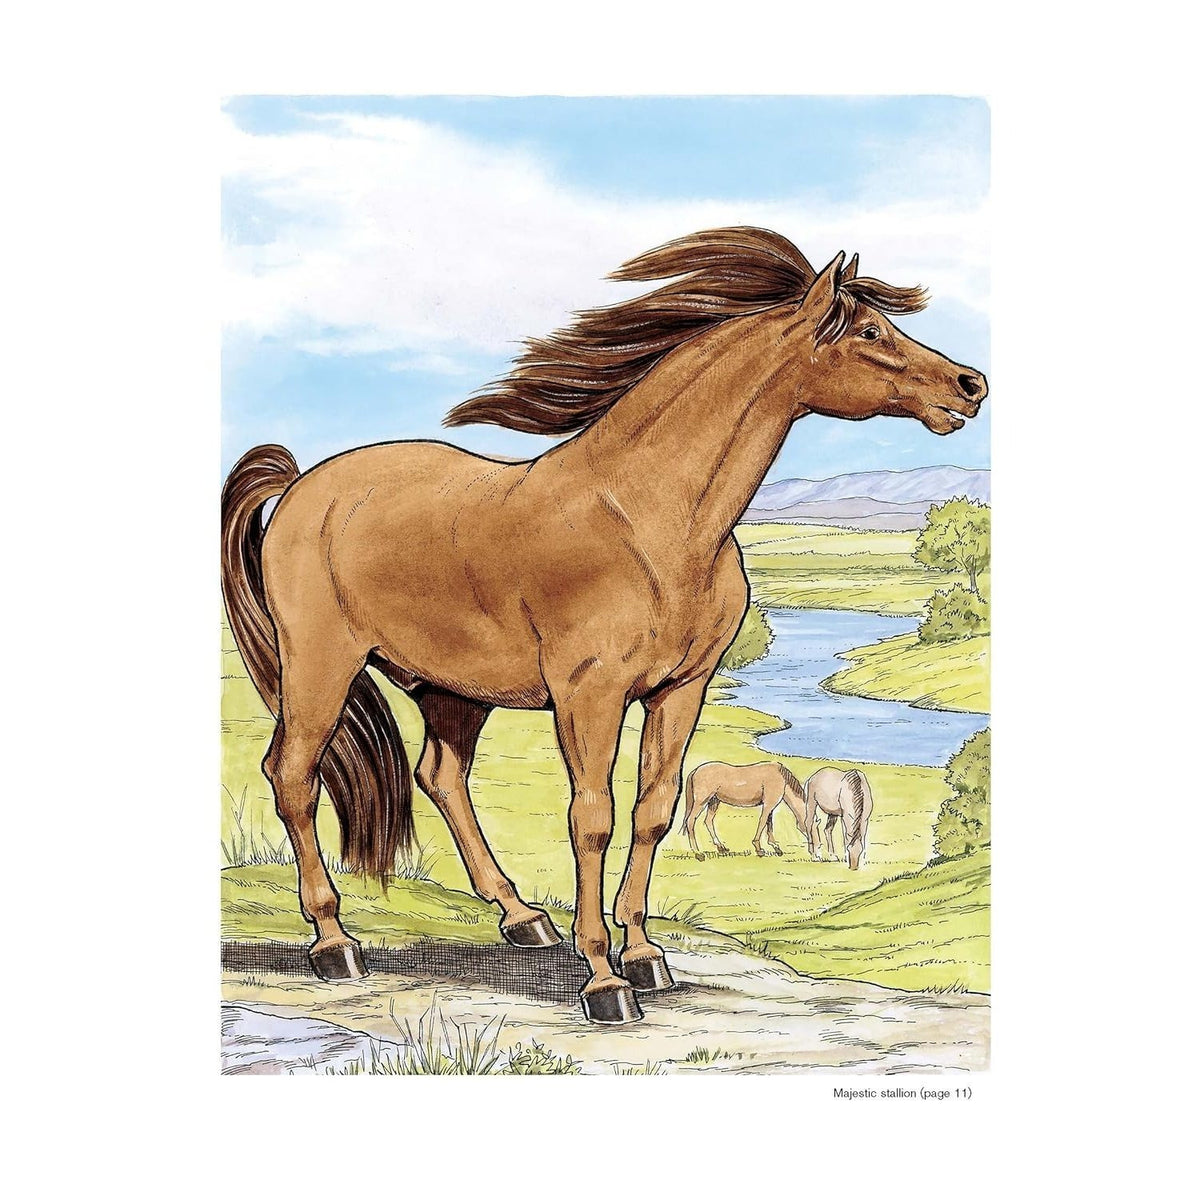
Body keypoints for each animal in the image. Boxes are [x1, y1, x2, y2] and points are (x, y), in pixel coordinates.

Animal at [220, 226, 985, 1024]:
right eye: (868, 332)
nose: (970, 385)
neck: (648, 517)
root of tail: (302, 488)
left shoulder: (682, 690)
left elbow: (652, 810)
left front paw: (644, 956)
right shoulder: (589, 697)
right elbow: (592, 817)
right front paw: (602, 979)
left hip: (452, 688)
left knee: (441, 777)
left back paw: (522, 918)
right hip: (321, 666)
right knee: (293, 775)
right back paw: (334, 942)